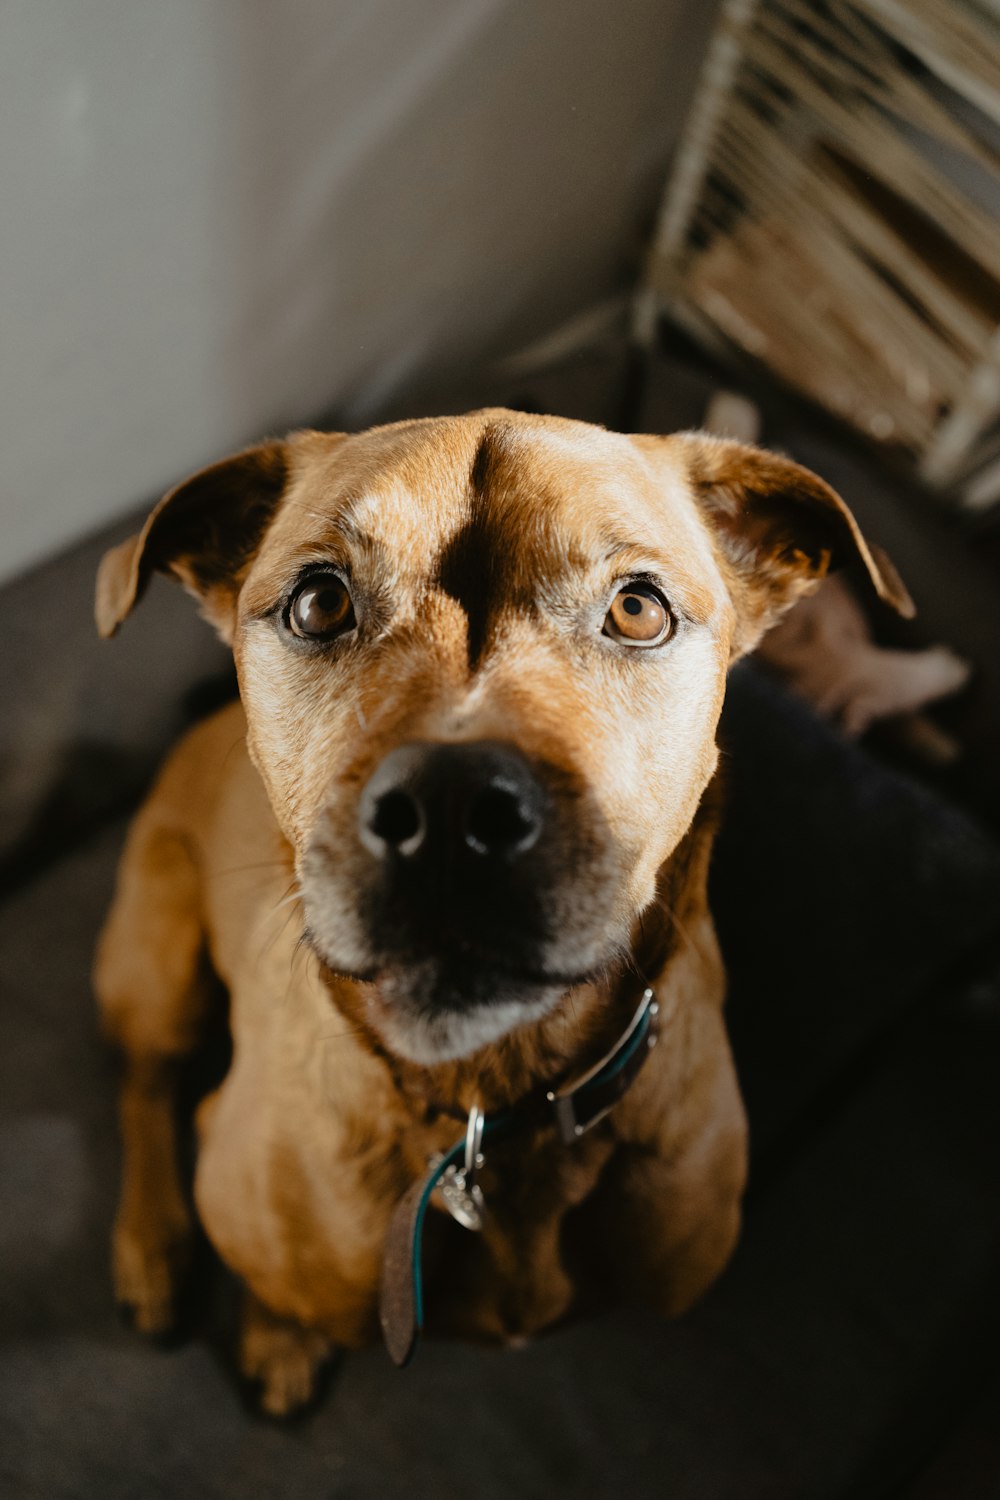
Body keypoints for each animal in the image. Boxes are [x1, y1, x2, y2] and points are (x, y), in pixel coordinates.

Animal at [93, 414, 917, 1416]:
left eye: (638, 610)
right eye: (318, 603)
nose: (451, 812)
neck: (494, 1105)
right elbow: (272, 1269)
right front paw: (279, 1332)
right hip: (158, 961)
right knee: (145, 1087)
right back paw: (152, 1251)